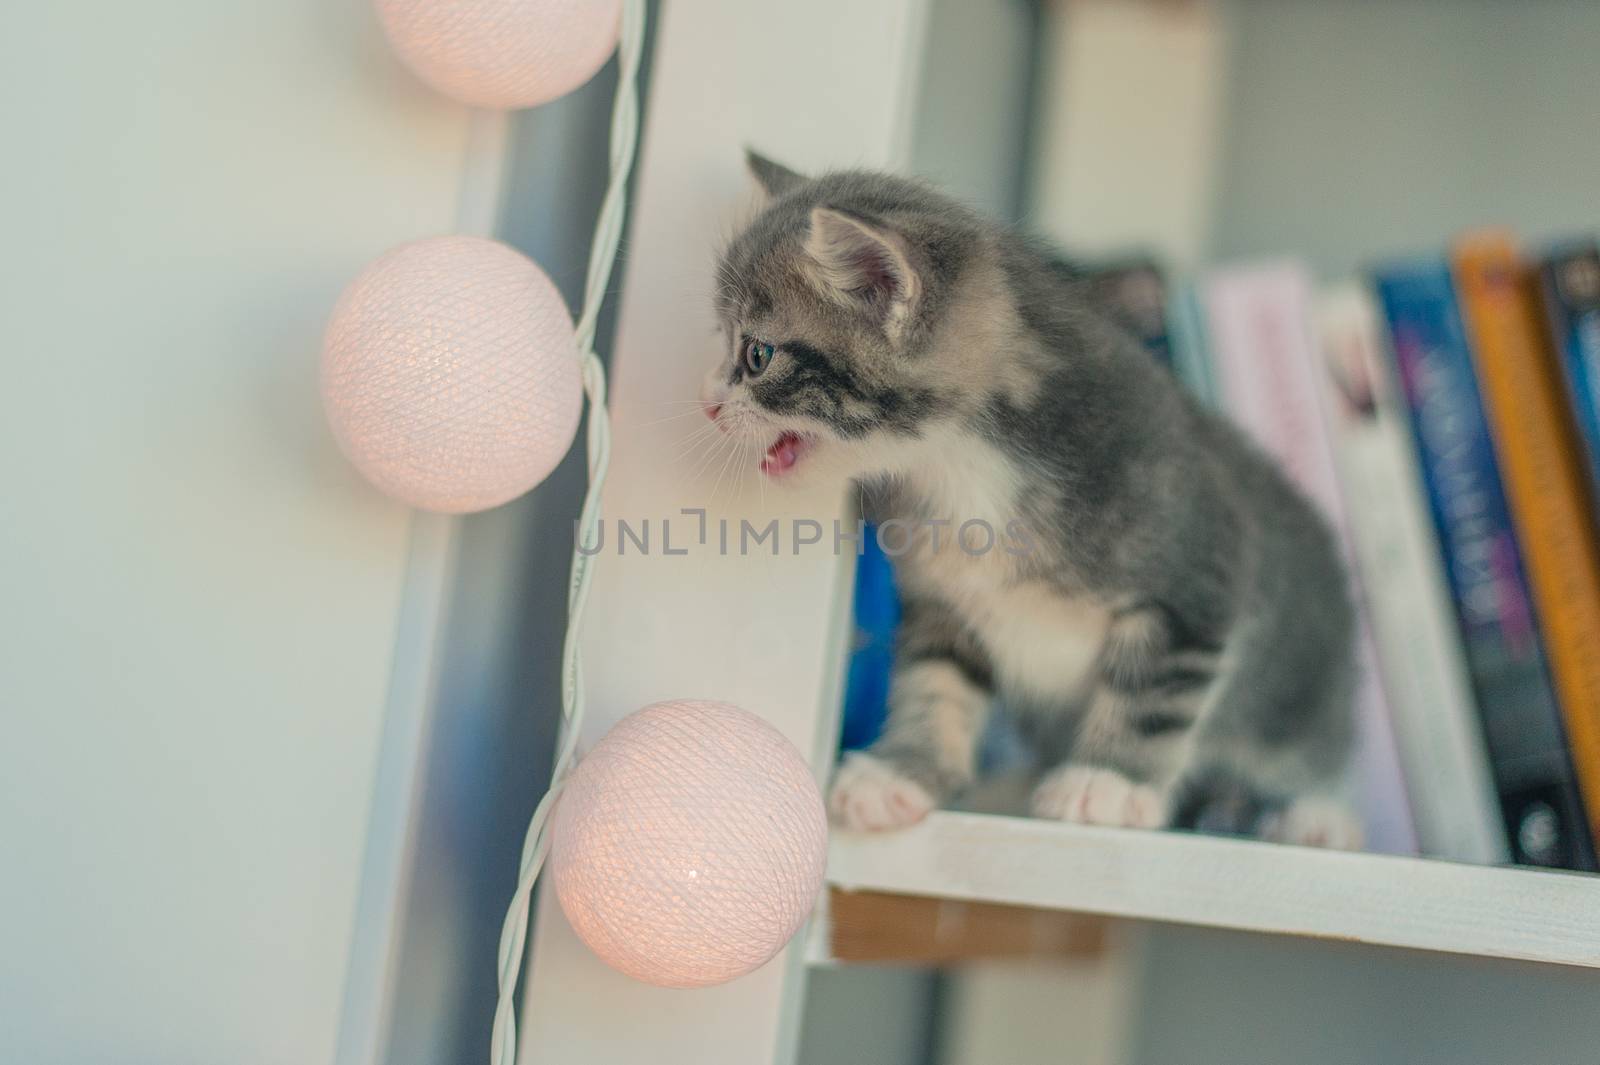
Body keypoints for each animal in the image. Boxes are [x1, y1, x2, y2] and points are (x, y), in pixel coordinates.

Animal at [704, 151, 1363, 844]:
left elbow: (1151, 693)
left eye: (756, 354)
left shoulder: (1201, 569)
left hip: (1302, 684)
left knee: (1316, 751)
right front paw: (906, 770)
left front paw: (1108, 781)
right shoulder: (942, 605)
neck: (961, 466)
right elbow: (934, 682)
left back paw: (1318, 814)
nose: (708, 402)